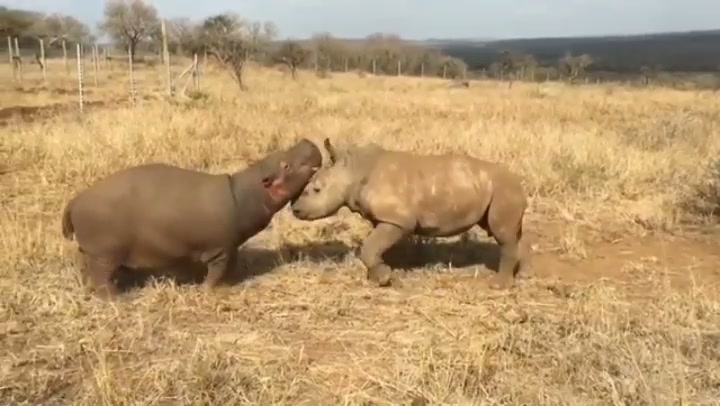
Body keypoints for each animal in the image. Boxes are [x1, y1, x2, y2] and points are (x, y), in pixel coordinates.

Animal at [61, 138, 323, 298]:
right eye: (285, 165)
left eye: (279, 153)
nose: (306, 140)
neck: (247, 192)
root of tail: (74, 200)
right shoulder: (220, 249)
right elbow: (217, 271)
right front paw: (207, 290)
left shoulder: (231, 245)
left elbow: (232, 265)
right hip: (105, 254)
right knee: (102, 277)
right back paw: (117, 299)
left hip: (93, 252)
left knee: (89, 272)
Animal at [290, 138, 529, 289]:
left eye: (316, 190)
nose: (296, 210)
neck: (354, 170)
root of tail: (519, 181)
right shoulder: (384, 218)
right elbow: (373, 247)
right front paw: (380, 274)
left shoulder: (398, 220)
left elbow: (369, 247)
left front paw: (384, 278)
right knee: (508, 233)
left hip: (504, 188)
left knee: (502, 233)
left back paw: (498, 285)